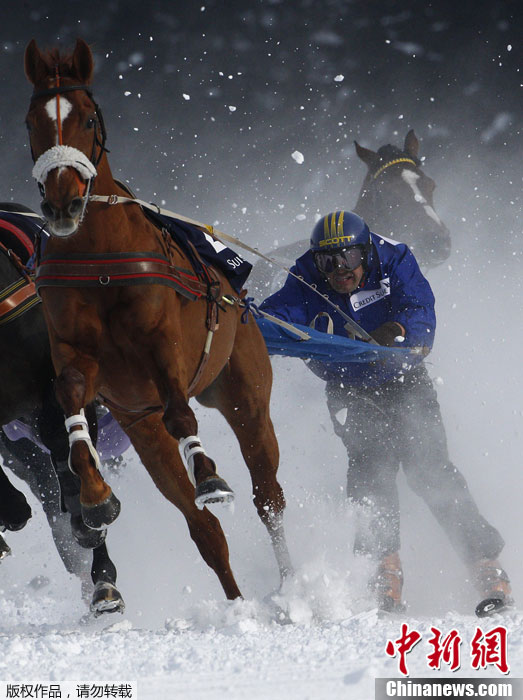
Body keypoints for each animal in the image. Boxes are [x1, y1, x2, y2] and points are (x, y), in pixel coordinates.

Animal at [23, 38, 292, 601]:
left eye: (86, 118)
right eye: (32, 121)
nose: (62, 205)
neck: (101, 260)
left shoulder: (163, 349)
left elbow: (180, 411)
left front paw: (209, 474)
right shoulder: (85, 361)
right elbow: (71, 397)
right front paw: (95, 496)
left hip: (245, 391)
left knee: (268, 495)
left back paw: (293, 584)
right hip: (144, 434)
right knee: (204, 529)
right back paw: (238, 602)